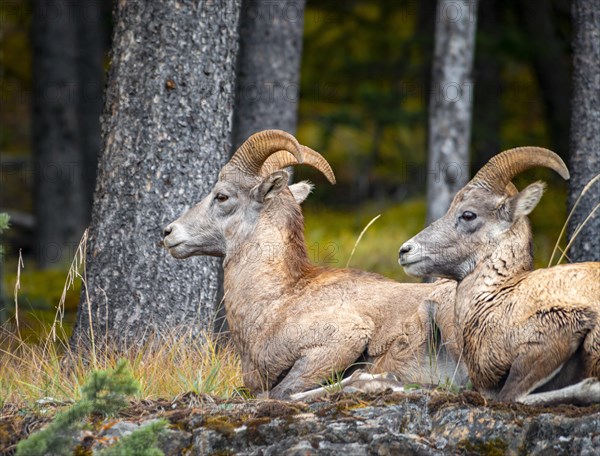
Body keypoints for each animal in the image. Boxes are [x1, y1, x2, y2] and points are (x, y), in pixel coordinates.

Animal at [163, 129, 464, 400]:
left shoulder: (341, 339)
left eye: (222, 196)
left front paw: (372, 381)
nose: (168, 232)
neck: (276, 301)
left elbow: (281, 393)